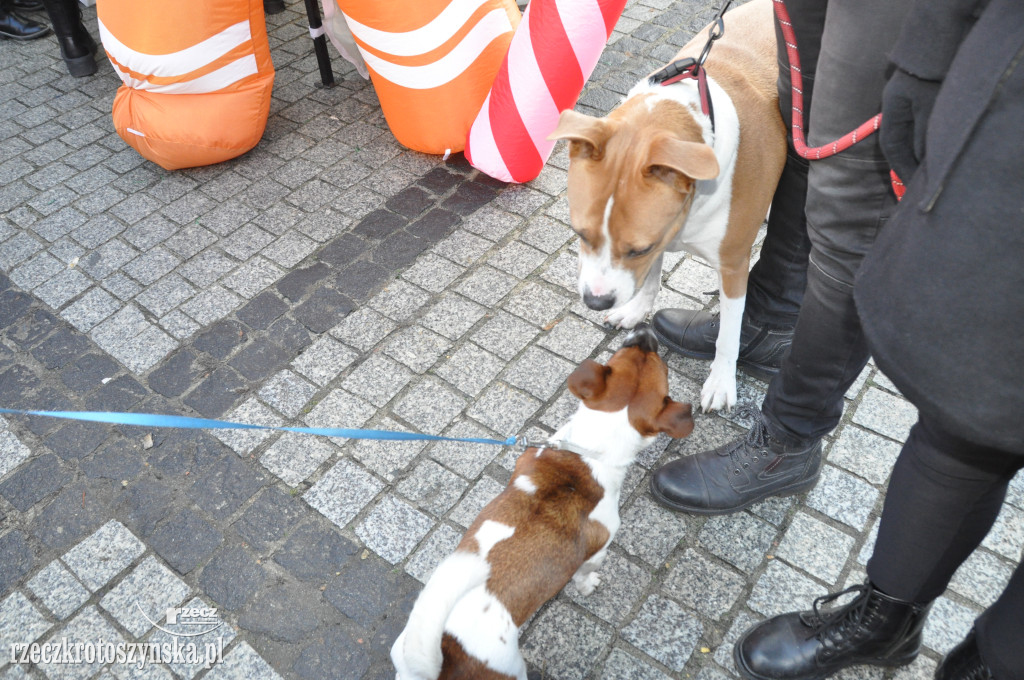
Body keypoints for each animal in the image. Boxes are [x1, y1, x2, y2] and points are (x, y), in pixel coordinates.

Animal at [387, 327, 692, 675]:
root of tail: (443, 657)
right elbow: (584, 574)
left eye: (618, 357)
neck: (589, 452)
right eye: (663, 367)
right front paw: (588, 586)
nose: (644, 330)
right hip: (511, 669)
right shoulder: (598, 550)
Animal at [552, 0, 782, 409]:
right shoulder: (663, 233)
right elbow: (649, 279)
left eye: (637, 249)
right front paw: (635, 311)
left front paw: (722, 381)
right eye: (579, 233)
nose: (596, 302)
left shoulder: (733, 264)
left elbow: (730, 332)